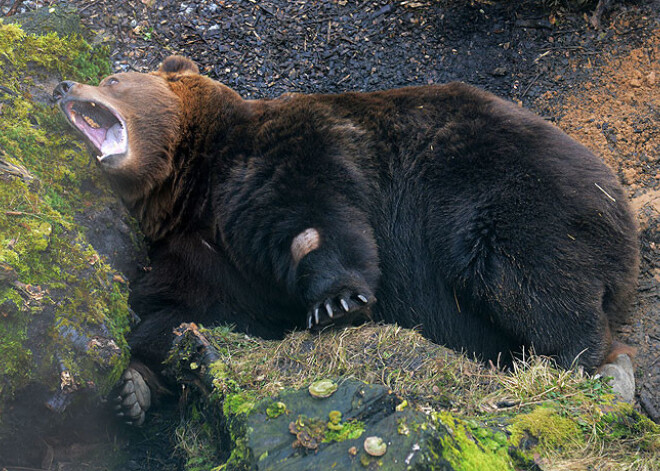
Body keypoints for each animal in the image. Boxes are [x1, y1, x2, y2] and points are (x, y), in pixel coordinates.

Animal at [54, 56, 636, 428]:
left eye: (112, 77)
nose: (63, 86)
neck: (193, 182)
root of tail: (620, 200)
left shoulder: (286, 154)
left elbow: (314, 218)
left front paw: (337, 302)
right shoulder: (200, 254)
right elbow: (183, 309)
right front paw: (135, 381)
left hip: (513, 196)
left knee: (530, 275)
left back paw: (577, 364)